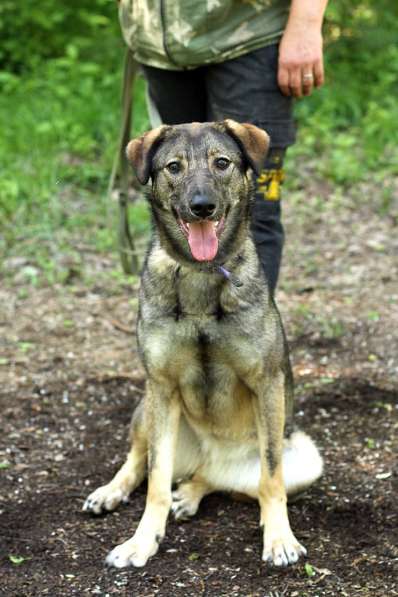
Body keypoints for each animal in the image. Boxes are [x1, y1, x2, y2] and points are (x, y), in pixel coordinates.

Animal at [84, 120, 324, 568]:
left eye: (222, 163)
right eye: (174, 167)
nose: (202, 206)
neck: (200, 275)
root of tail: (210, 456)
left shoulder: (267, 385)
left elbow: (271, 478)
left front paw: (279, 539)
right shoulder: (161, 387)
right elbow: (156, 484)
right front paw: (140, 543)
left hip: (305, 456)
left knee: (222, 479)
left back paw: (192, 494)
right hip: (147, 410)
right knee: (140, 461)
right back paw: (112, 492)